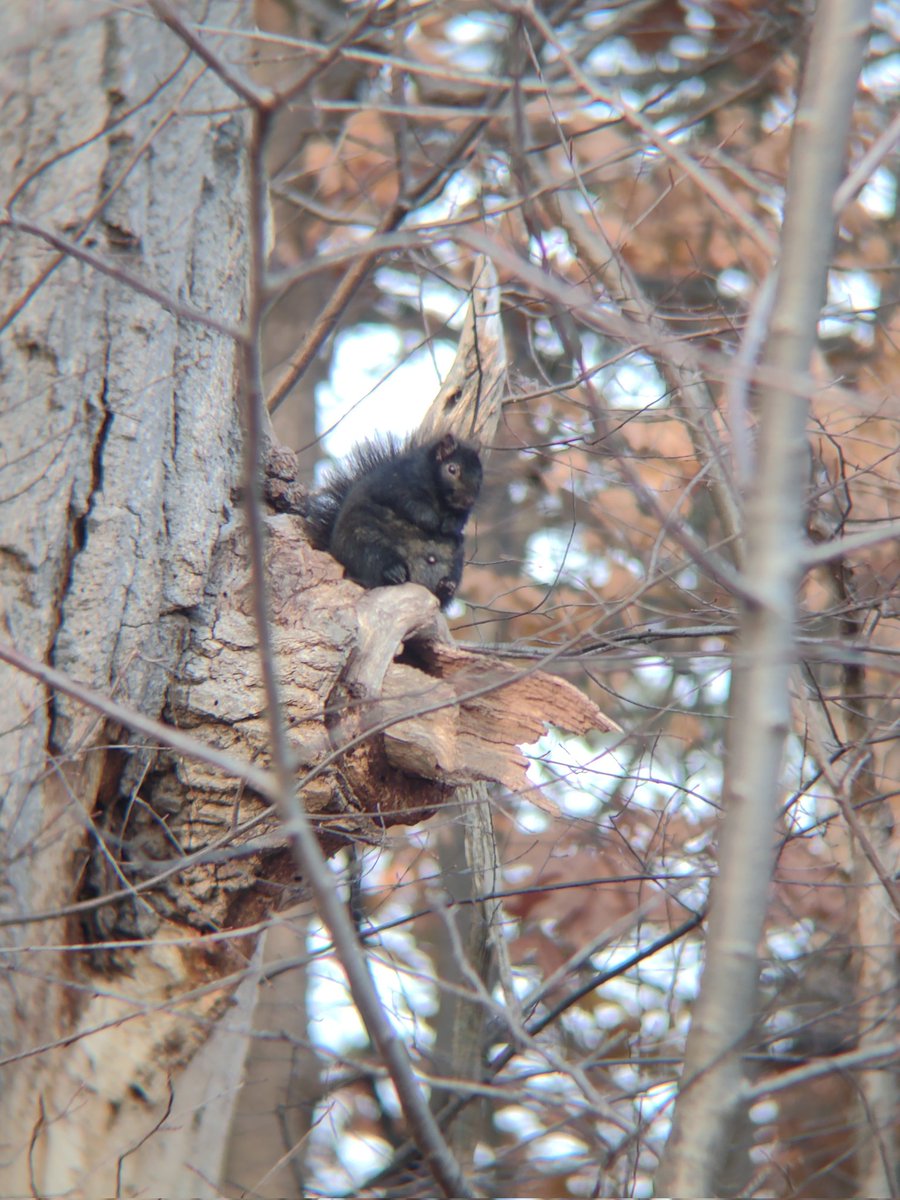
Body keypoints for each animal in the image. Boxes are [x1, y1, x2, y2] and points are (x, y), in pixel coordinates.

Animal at [304, 432, 482, 608]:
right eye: (452, 469)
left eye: (480, 473)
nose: (468, 500)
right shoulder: (397, 484)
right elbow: (411, 504)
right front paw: (431, 521)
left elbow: (460, 519)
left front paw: (449, 526)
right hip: (362, 541)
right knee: (375, 564)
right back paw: (394, 571)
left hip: (454, 560)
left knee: (443, 593)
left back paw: (445, 586)